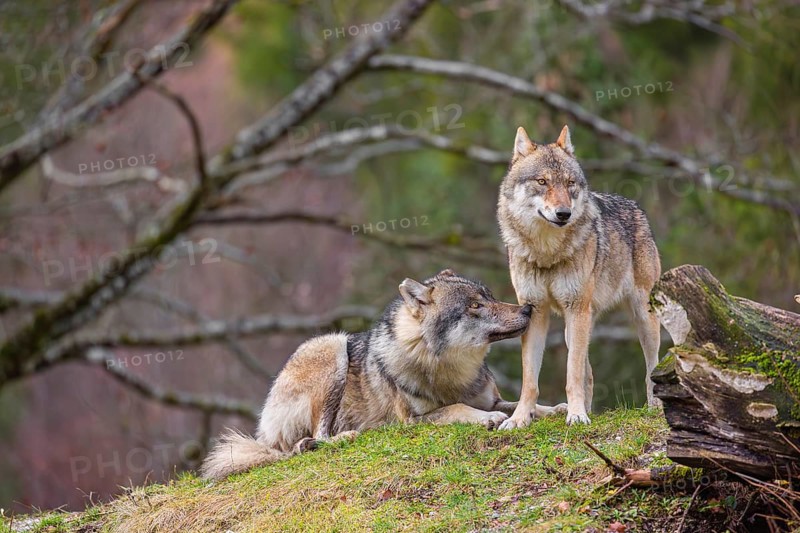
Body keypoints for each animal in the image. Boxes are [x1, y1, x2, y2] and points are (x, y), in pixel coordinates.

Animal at [201, 269, 567, 479]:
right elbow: (457, 408)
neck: (450, 370)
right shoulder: (413, 421)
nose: (528, 309)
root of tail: (264, 429)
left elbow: (520, 405)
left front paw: (557, 409)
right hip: (333, 347)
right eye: (475, 306)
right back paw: (339, 438)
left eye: (489, 297)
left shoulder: (493, 397)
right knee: (316, 437)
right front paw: (487, 419)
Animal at [496, 125, 662, 428]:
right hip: (574, 326)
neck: (547, 252)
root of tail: (635, 206)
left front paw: (576, 416)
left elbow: (571, 374)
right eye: (542, 182)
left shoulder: (576, 308)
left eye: (570, 183)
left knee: (651, 367)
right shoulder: (534, 311)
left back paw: (653, 406)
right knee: (590, 373)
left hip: (639, 317)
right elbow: (530, 380)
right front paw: (520, 418)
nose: (564, 213)